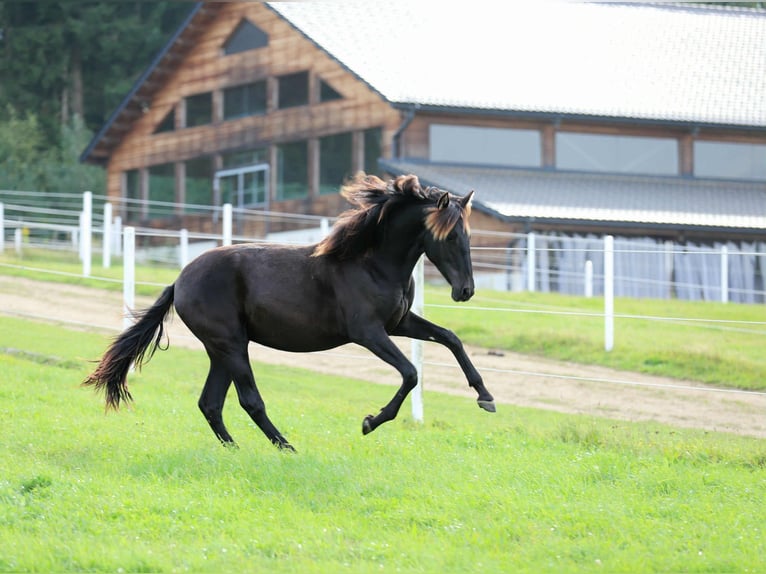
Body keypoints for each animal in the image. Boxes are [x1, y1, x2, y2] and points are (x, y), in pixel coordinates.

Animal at [83, 173, 495, 451]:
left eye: (468, 234)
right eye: (448, 235)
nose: (465, 290)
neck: (370, 262)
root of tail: (179, 281)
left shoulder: (399, 324)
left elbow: (451, 339)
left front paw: (485, 396)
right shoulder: (368, 332)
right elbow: (410, 373)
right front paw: (369, 422)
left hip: (221, 349)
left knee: (210, 403)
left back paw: (237, 450)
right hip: (232, 345)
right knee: (249, 400)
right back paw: (286, 447)